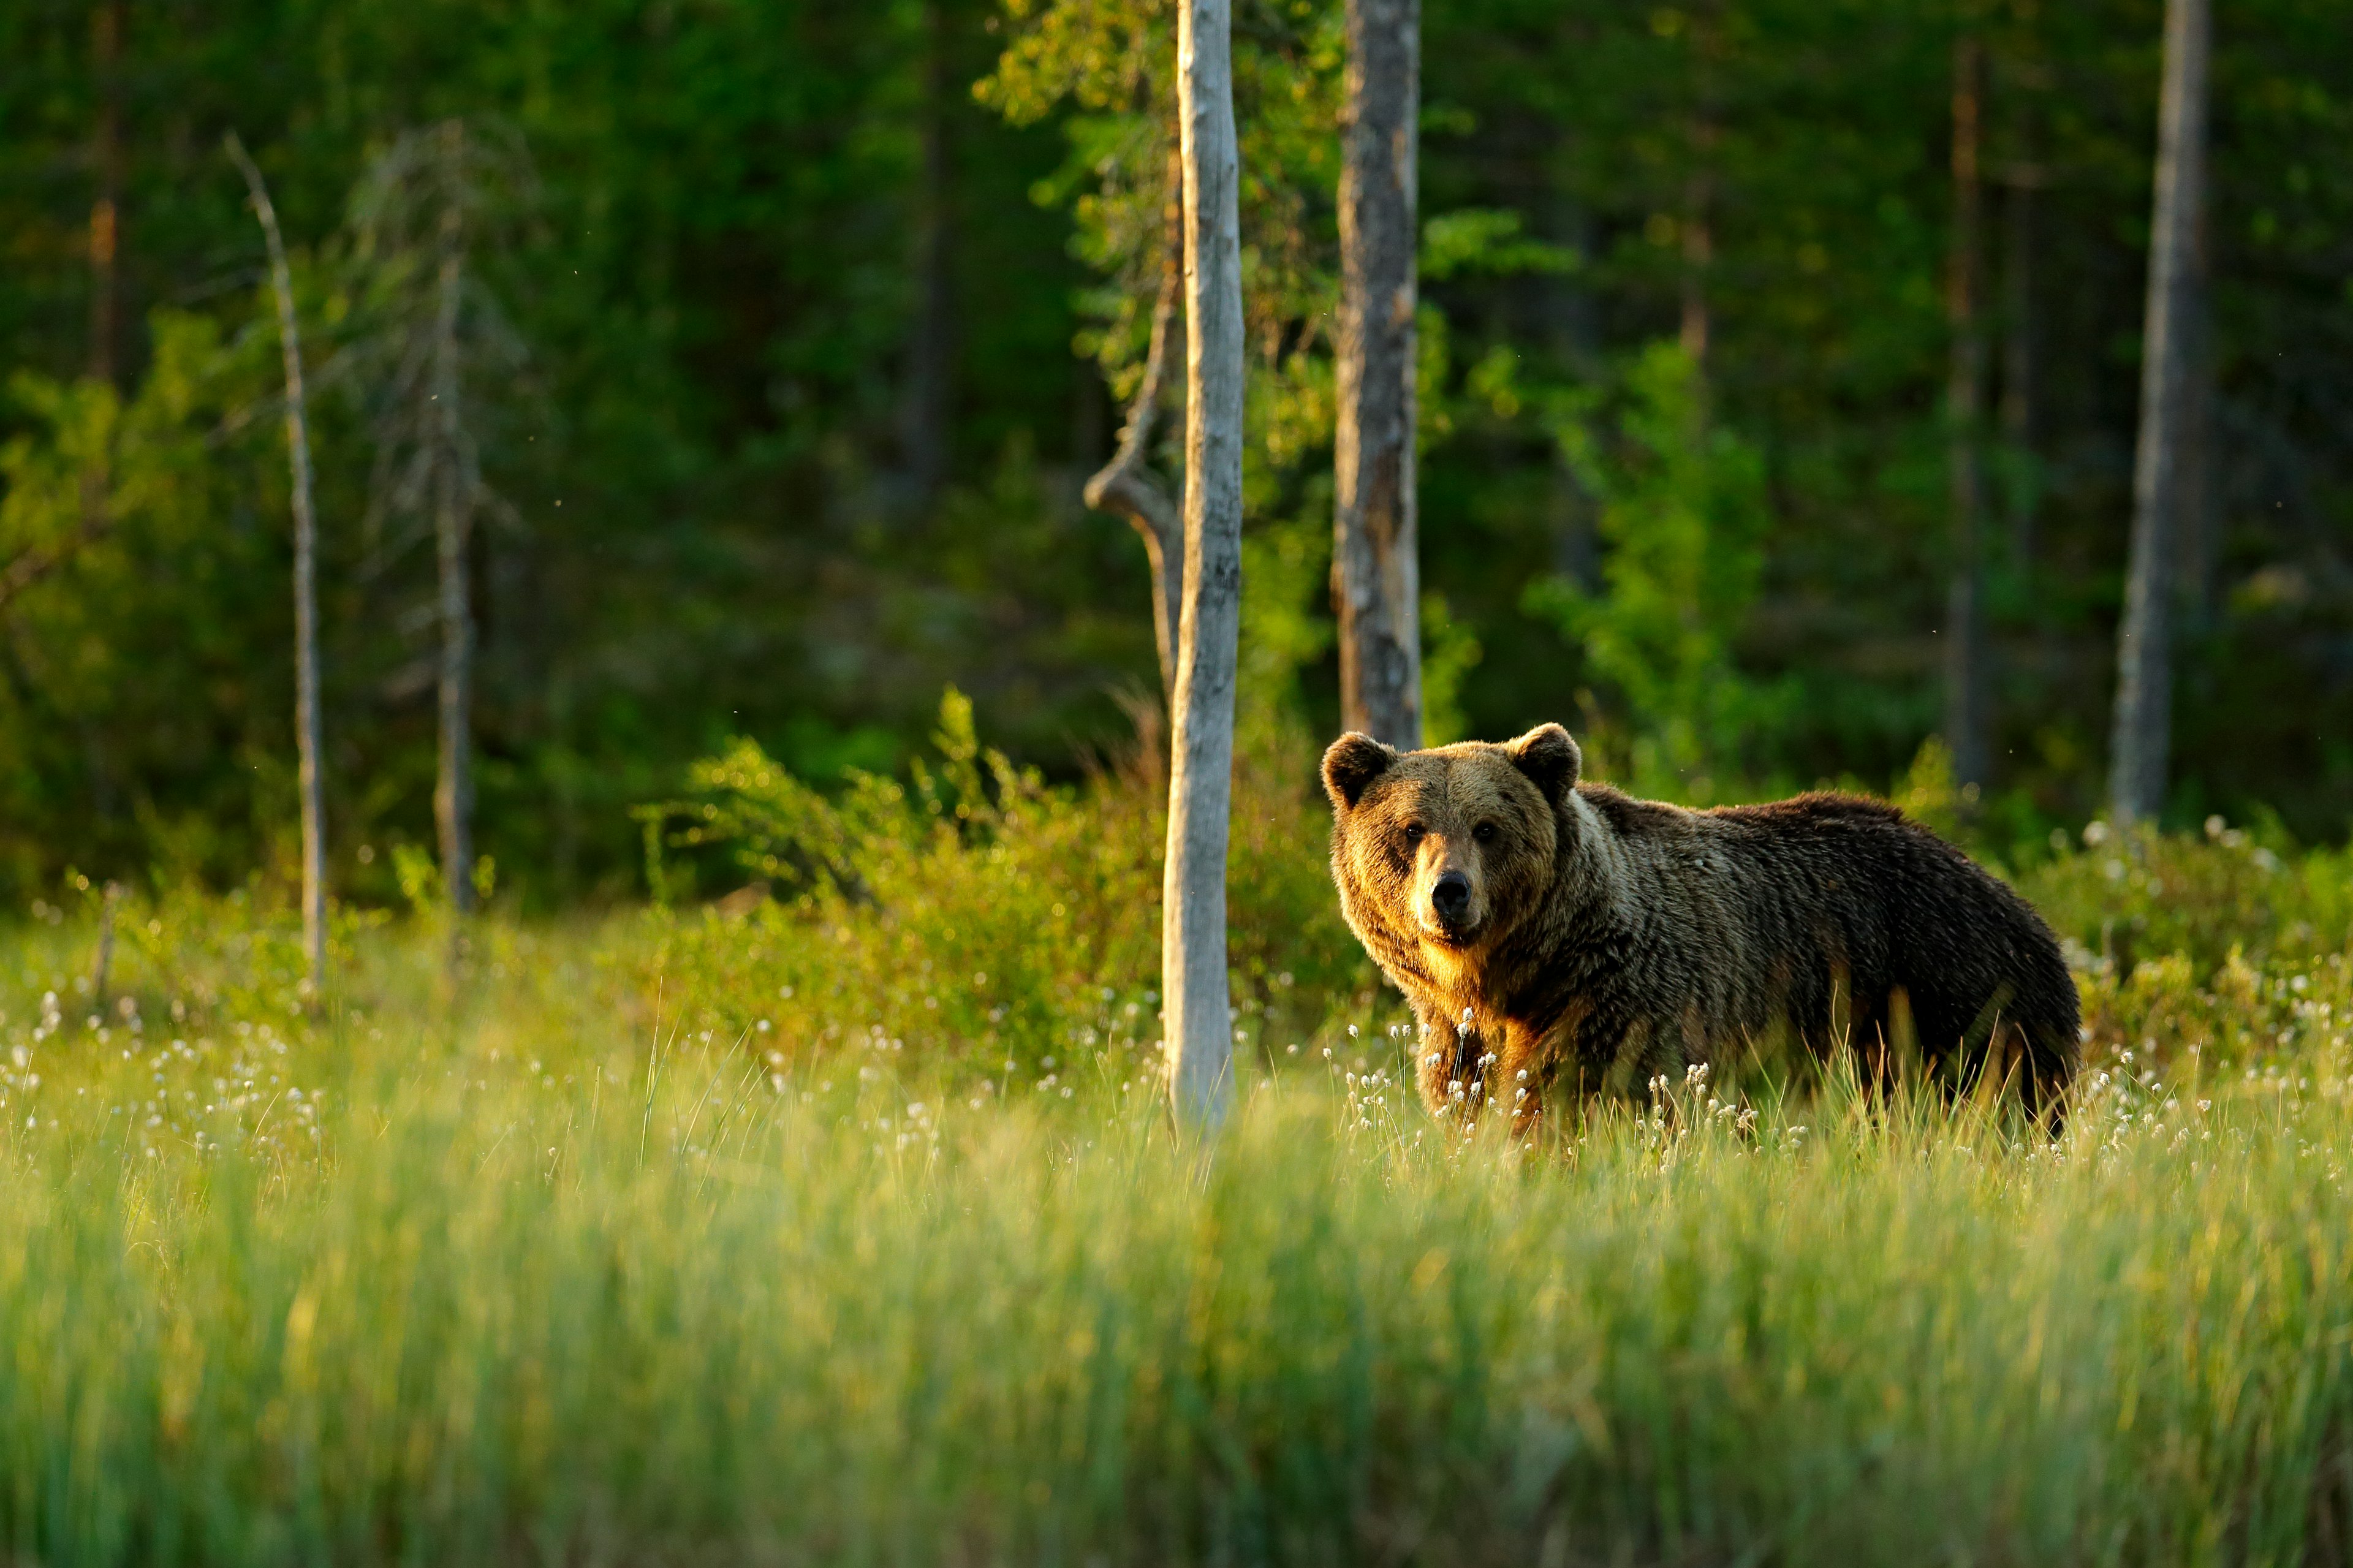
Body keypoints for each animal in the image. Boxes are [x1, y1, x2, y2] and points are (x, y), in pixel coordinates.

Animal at [1327, 720, 2080, 1125]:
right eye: (1411, 828)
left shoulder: (1618, 1006)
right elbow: (1470, 1104)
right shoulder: (1458, 1041)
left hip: (1953, 1002)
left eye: (1488, 828)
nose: (1448, 893)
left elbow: (1573, 1104)